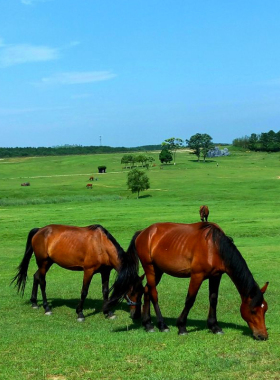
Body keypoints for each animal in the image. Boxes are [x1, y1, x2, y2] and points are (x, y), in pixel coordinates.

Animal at [11, 224, 142, 322]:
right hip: (43, 262)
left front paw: (108, 312)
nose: (136, 315)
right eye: (133, 292)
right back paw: (47, 308)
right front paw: (80, 313)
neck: (101, 244)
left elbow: (105, 291)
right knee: (42, 281)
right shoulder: (88, 271)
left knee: (36, 276)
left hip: (48, 263)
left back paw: (34, 303)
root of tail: (39, 230)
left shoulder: (105, 272)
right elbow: (84, 292)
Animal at [105, 221, 270, 340]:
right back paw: (162, 325)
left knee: (146, 290)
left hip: (158, 270)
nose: (263, 335)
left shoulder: (216, 276)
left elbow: (213, 299)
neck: (214, 246)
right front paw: (182, 326)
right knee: (153, 294)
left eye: (265, 309)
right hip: (150, 268)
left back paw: (148, 324)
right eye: (253, 310)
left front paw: (214, 326)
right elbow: (190, 300)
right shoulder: (197, 275)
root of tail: (143, 233)